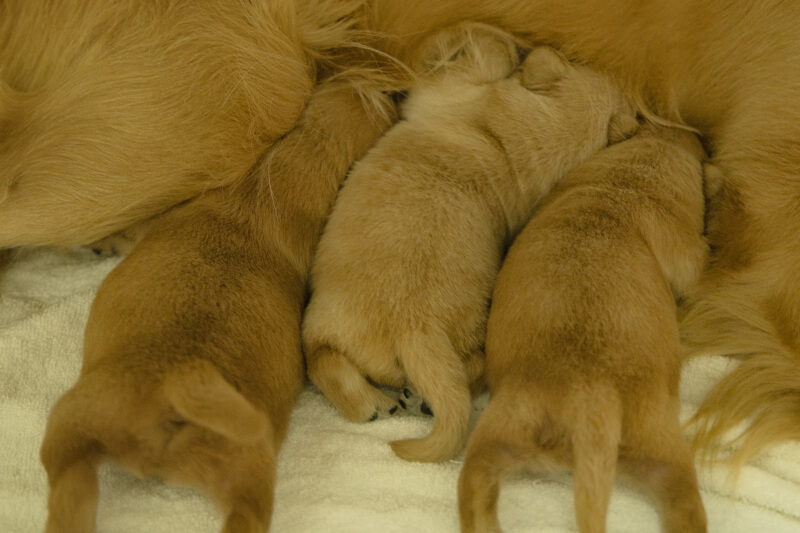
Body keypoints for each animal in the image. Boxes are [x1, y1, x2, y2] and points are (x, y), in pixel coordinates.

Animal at [302, 23, 636, 462]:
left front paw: (472, 36)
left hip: (324, 320)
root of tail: (417, 330)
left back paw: (373, 403)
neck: (533, 140)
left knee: (324, 361)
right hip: (471, 338)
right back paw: (422, 400)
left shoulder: (450, 92)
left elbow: (483, 58)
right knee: (469, 372)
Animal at [456, 121, 708, 532]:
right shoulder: (684, 251)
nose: (694, 131)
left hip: (508, 427)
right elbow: (698, 263)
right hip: (654, 435)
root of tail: (591, 404)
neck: (625, 185)